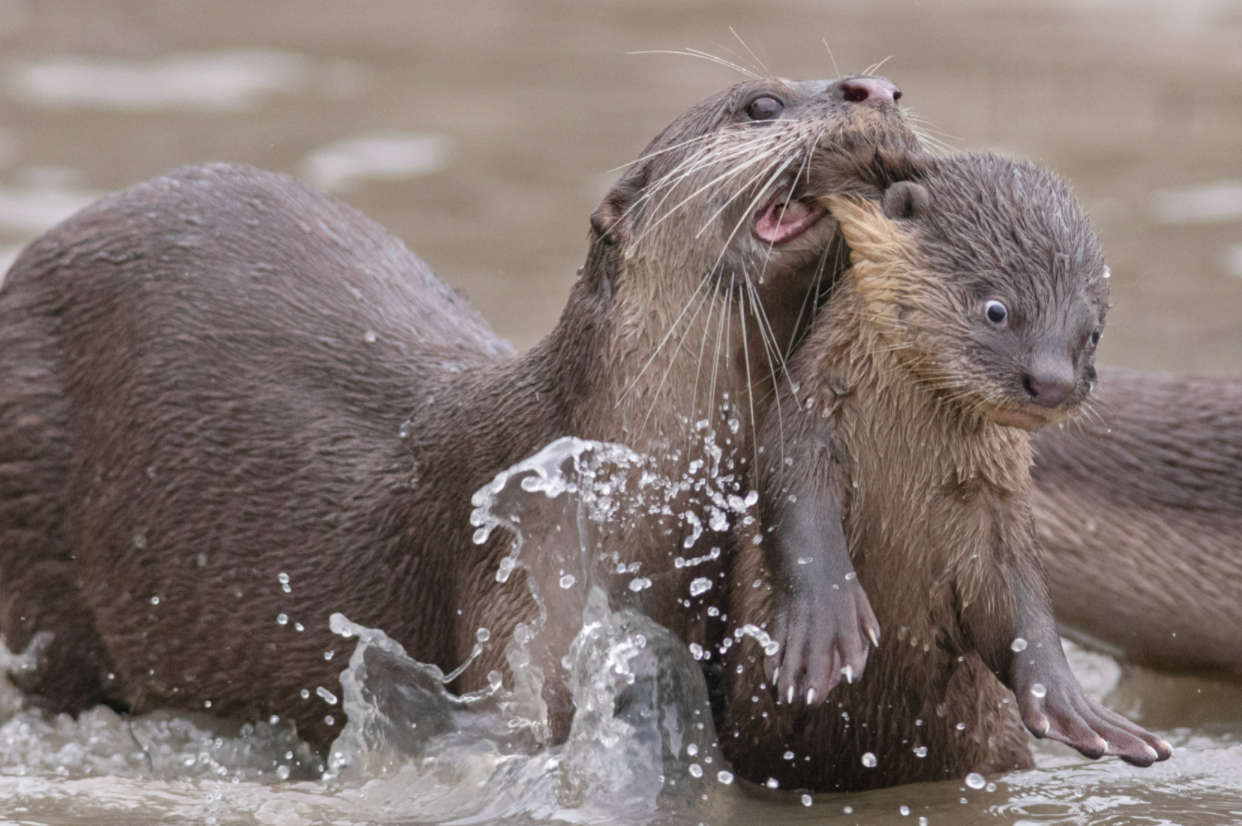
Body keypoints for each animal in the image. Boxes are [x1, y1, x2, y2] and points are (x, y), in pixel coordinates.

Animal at [725, 151, 1167, 789]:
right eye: (997, 309)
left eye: (1093, 333)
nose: (1053, 382)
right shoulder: (805, 425)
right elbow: (798, 513)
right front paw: (825, 631)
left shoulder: (997, 500)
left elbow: (1021, 600)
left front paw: (1072, 704)